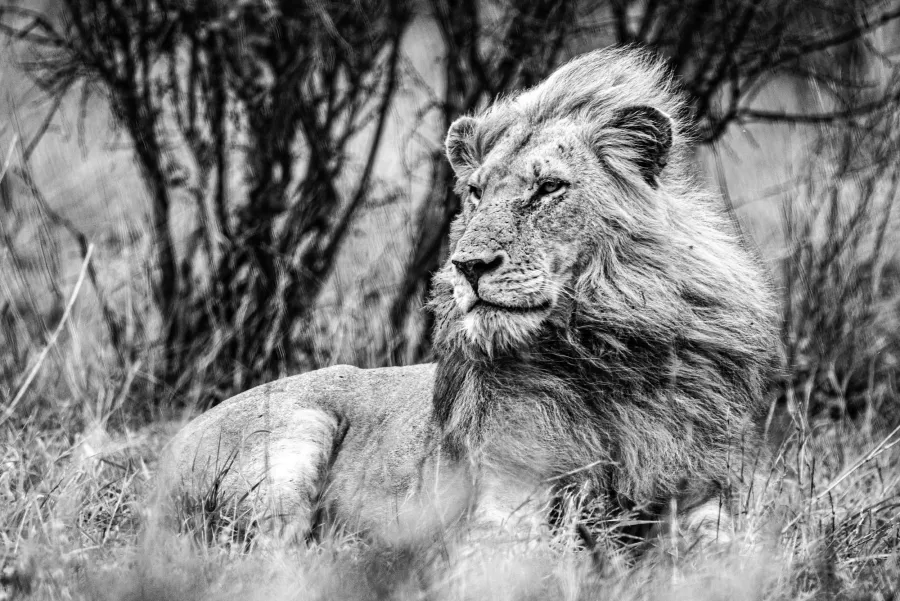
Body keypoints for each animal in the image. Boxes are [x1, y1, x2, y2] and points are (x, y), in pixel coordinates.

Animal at [163, 47, 780, 549]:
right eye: (477, 192)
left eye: (548, 188)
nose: (469, 266)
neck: (604, 350)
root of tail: (164, 456)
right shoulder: (502, 506)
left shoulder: (707, 501)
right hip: (297, 434)